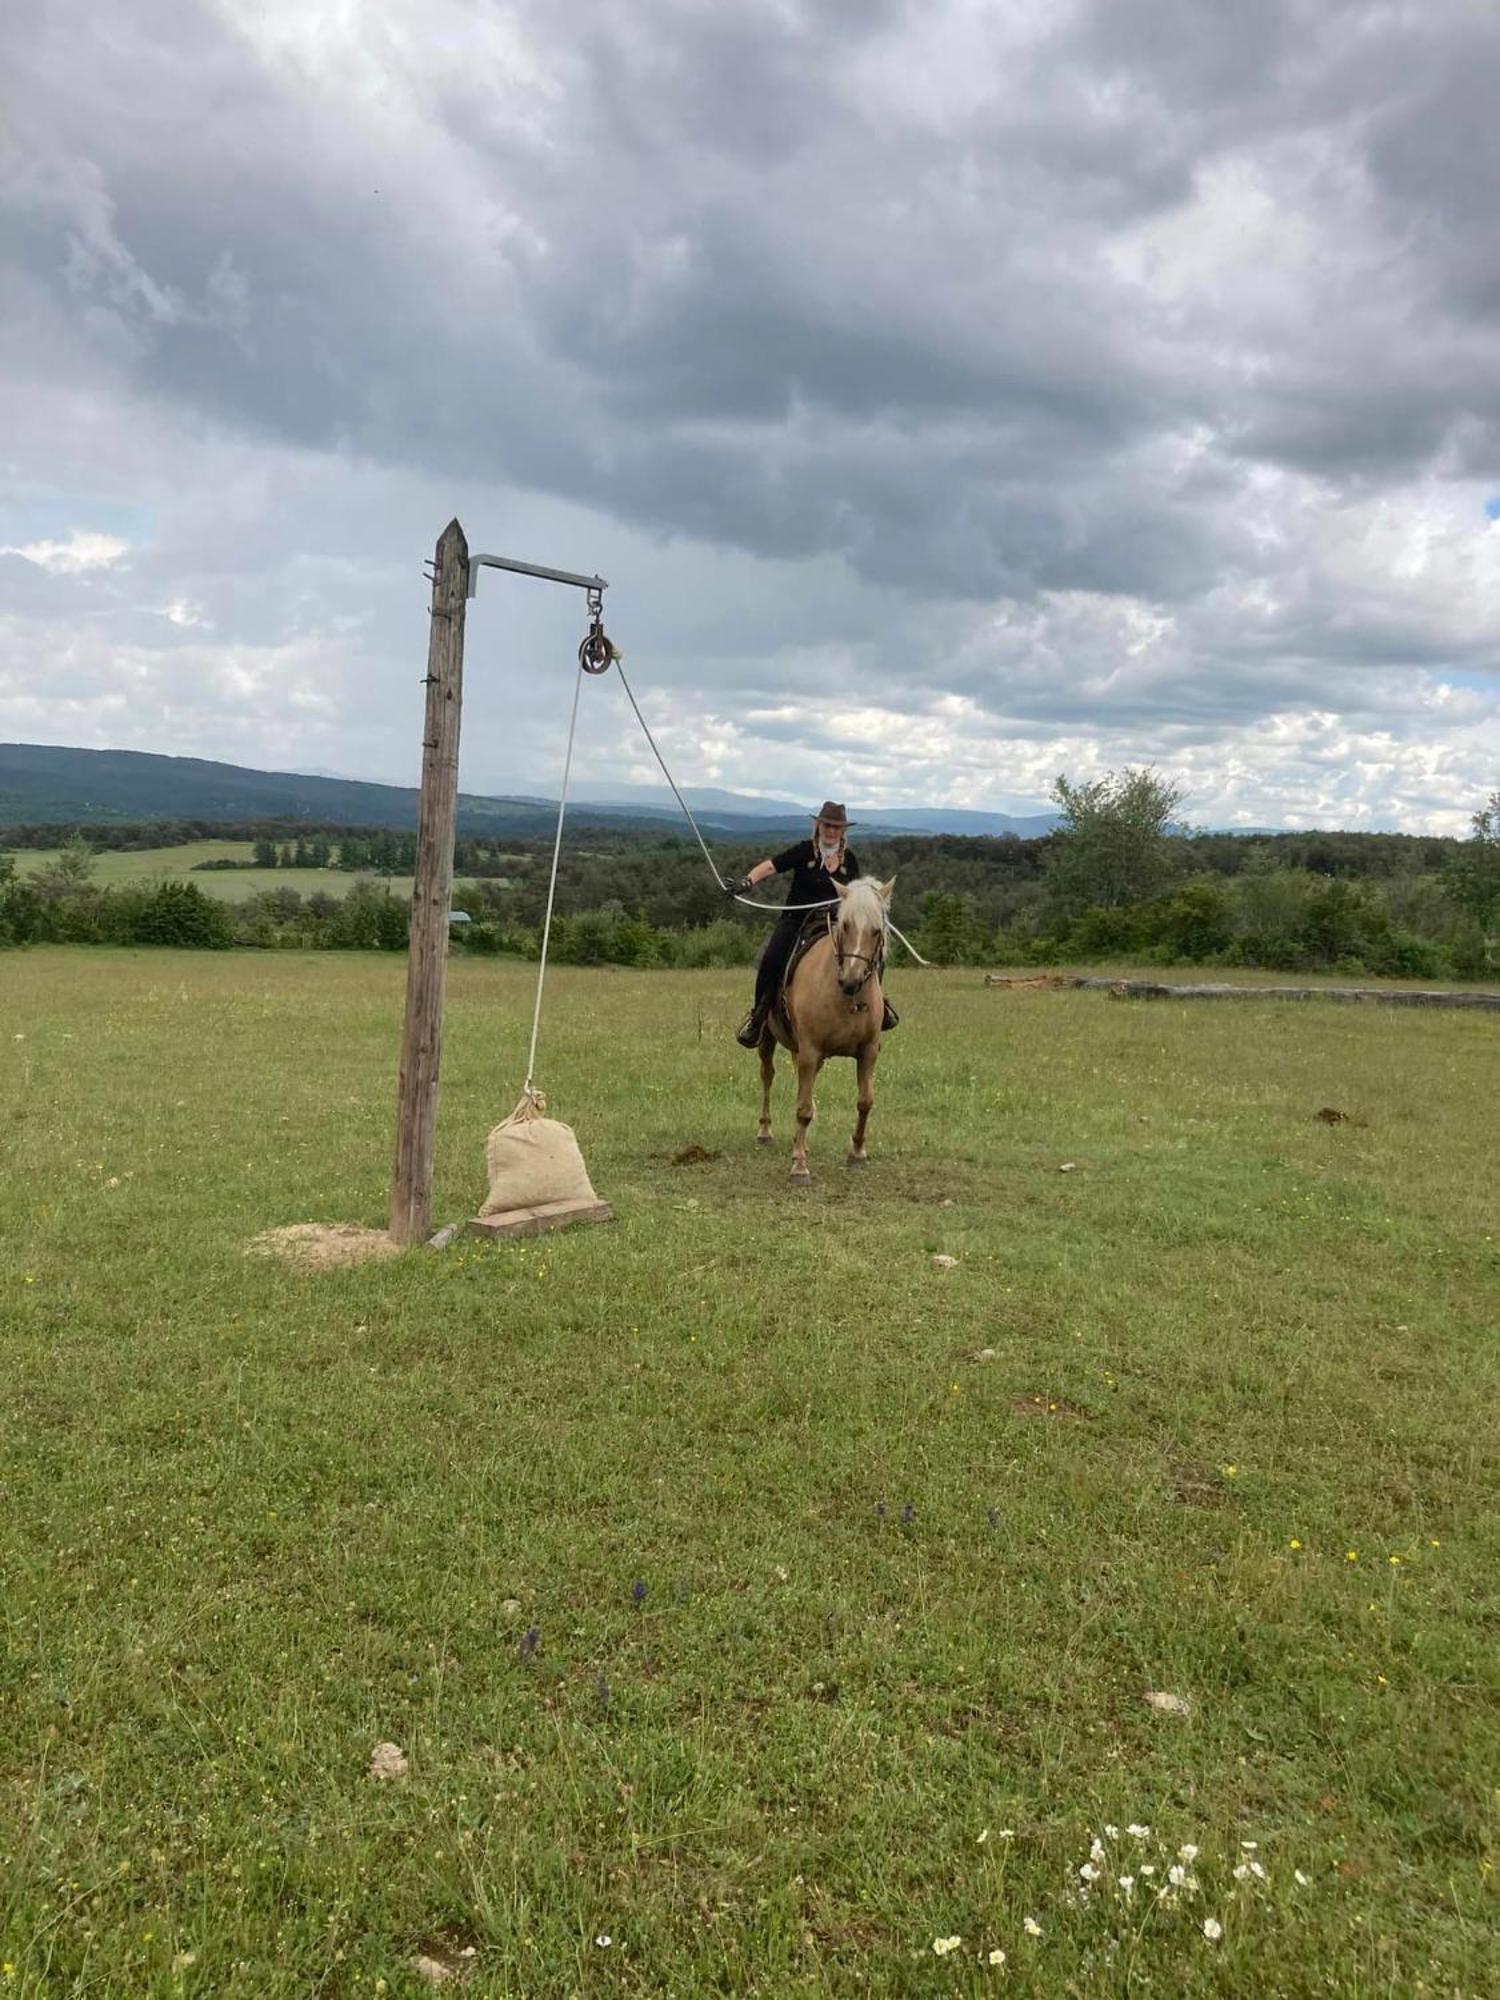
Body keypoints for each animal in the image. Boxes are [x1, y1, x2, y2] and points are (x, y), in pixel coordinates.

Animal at [764, 880, 892, 1184]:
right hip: (768, 1038)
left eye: (876, 930)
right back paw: (765, 1132)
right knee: (767, 1076)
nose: (851, 980)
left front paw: (857, 1152)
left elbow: (865, 1101)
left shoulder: (868, 1052)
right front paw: (799, 1166)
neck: (845, 998)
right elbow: (804, 1108)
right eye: (845, 925)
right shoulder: (810, 1051)